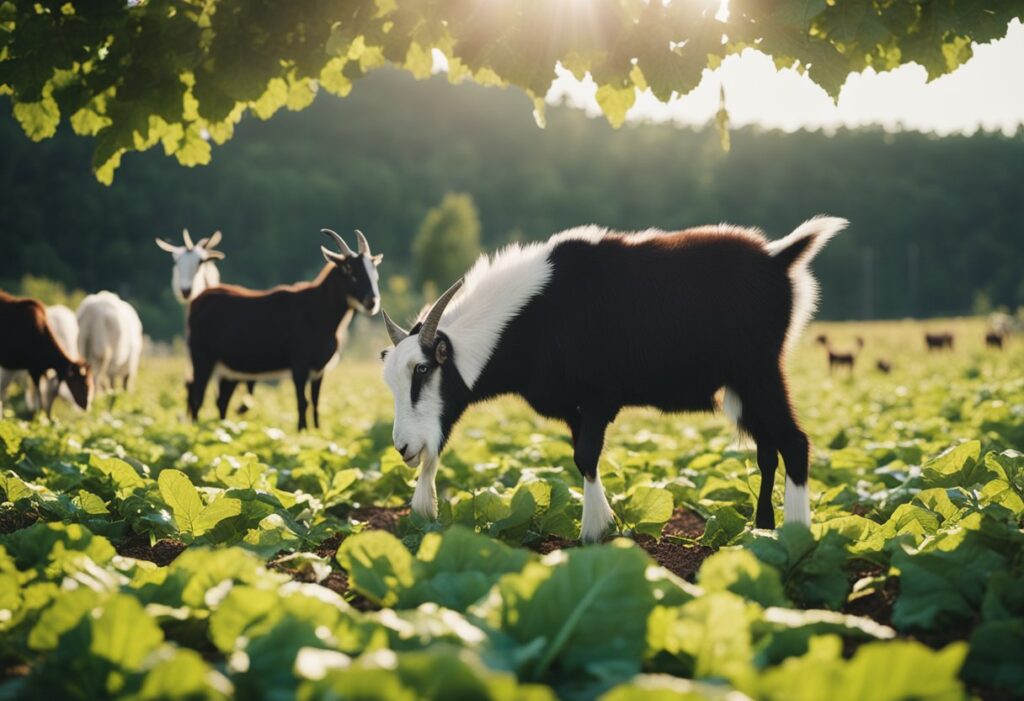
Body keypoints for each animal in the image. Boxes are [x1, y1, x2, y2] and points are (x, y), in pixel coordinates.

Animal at [185, 228, 380, 431]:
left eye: (374, 272)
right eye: (349, 270)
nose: (372, 302)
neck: (316, 311)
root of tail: (198, 301)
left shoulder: (319, 369)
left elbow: (316, 402)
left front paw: (317, 432)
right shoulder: (299, 365)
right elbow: (303, 402)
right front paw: (302, 432)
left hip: (229, 368)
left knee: (221, 401)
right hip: (202, 359)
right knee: (197, 396)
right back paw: (194, 431)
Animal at [380, 215, 843, 540]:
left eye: (423, 369)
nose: (404, 447)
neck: (532, 315)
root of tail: (779, 257)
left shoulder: (599, 399)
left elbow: (586, 457)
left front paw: (593, 532)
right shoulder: (572, 408)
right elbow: (581, 457)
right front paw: (602, 524)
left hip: (760, 373)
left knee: (794, 443)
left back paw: (796, 537)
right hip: (742, 388)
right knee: (768, 449)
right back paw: (762, 530)